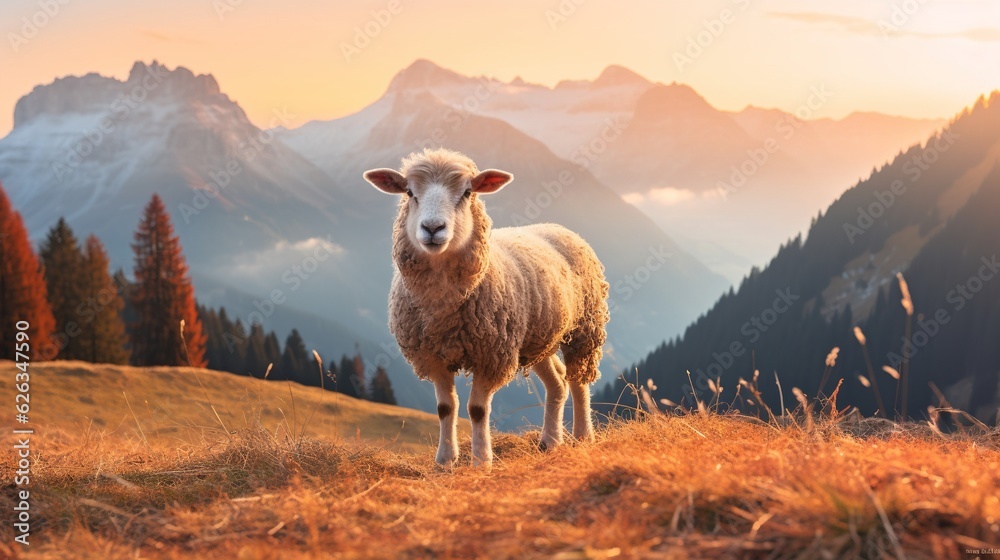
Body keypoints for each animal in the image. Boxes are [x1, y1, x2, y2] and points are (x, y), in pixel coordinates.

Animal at [363, 148, 610, 467]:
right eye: (409, 192)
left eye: (467, 192)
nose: (432, 228)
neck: (443, 307)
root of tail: (557, 226)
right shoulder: (432, 356)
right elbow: (445, 407)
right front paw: (445, 461)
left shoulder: (491, 356)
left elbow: (477, 410)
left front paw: (481, 461)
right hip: (538, 339)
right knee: (558, 383)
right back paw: (550, 441)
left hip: (584, 330)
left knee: (579, 382)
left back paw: (582, 436)